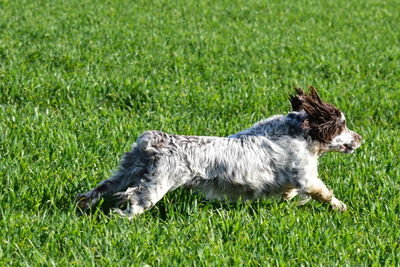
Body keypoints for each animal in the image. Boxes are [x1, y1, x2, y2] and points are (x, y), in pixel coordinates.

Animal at [76, 87, 362, 219]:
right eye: (342, 124)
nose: (360, 138)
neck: (298, 132)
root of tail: (154, 141)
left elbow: (289, 192)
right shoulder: (307, 177)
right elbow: (325, 194)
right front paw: (343, 207)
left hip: (126, 172)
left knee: (99, 189)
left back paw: (83, 205)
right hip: (154, 186)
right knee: (133, 203)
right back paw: (121, 219)